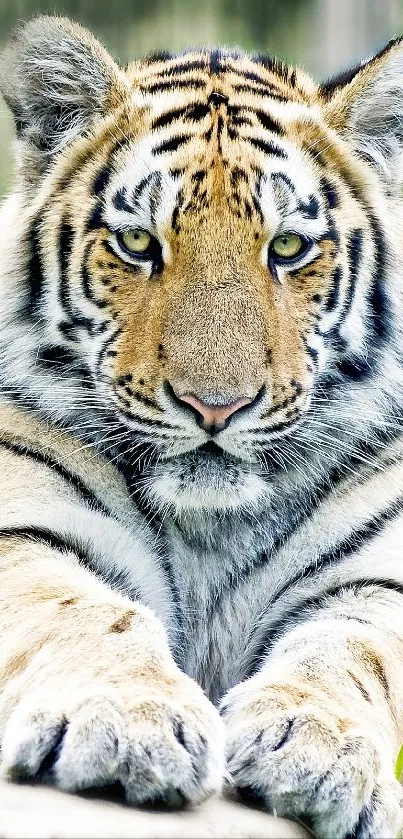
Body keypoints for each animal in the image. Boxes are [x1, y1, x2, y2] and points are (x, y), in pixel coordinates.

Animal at [0, 11, 403, 832]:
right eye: (137, 243)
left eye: (288, 247)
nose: (215, 406)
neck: (209, 530)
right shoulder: (23, 524)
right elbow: (86, 612)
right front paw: (126, 723)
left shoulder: (376, 578)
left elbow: (349, 655)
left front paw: (318, 748)